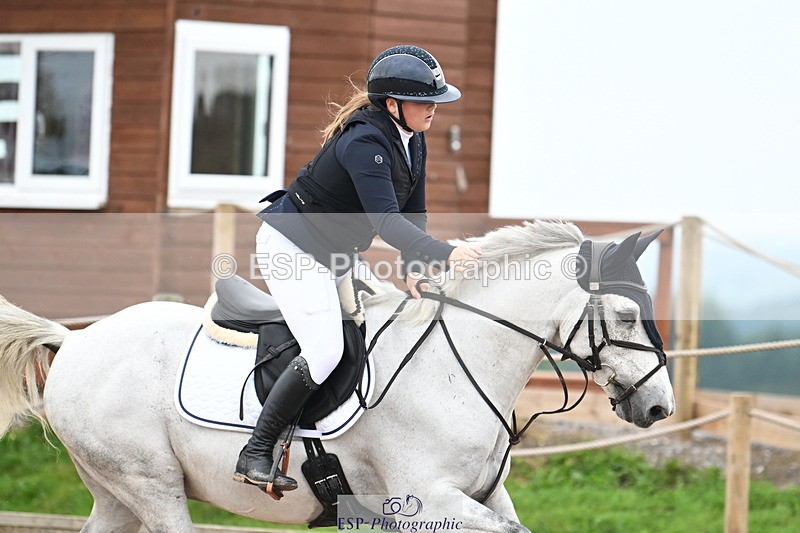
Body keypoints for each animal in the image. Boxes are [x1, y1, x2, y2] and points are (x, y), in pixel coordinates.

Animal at [0, 220, 674, 532]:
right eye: (624, 315)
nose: (659, 409)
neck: (457, 369)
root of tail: (78, 339)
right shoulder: (428, 502)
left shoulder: (478, 497)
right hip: (150, 484)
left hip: (116, 492)